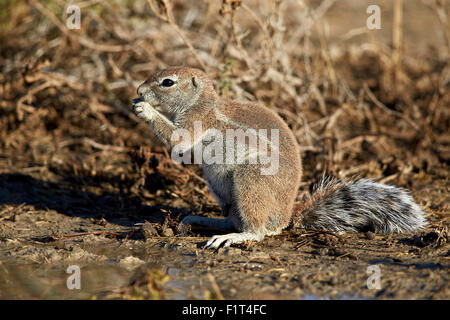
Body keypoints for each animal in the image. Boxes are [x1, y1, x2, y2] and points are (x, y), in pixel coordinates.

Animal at [132, 66, 428, 249]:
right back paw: (205, 221)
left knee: (260, 230)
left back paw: (233, 237)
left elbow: (177, 141)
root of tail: (288, 217)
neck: (201, 103)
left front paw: (145, 109)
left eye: (167, 82)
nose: (138, 91)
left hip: (250, 179)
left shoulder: (197, 121)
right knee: (234, 218)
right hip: (223, 191)